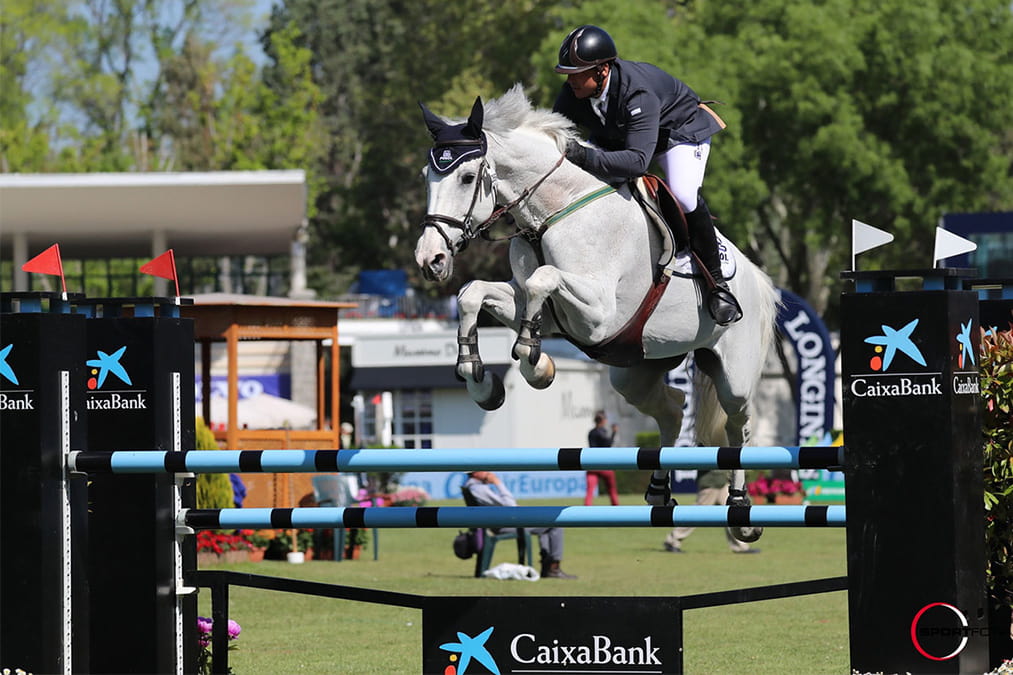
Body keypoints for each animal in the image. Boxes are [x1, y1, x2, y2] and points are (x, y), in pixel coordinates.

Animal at [415, 84, 777, 539]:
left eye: (466, 177)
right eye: (425, 177)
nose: (430, 259)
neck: (550, 213)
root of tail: (758, 277)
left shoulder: (599, 314)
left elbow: (542, 280)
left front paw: (535, 363)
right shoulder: (539, 306)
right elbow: (473, 293)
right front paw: (480, 379)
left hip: (734, 377)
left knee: (736, 426)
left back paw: (741, 508)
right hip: (636, 369)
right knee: (673, 408)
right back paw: (659, 490)